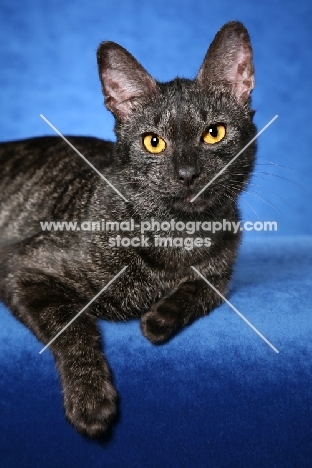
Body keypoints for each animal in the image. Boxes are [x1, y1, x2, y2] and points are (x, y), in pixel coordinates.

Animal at [0, 21, 256, 438]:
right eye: (154, 142)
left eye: (214, 133)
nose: (187, 174)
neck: (178, 235)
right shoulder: (19, 266)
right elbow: (73, 325)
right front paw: (90, 397)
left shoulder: (222, 273)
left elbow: (203, 289)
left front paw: (159, 318)